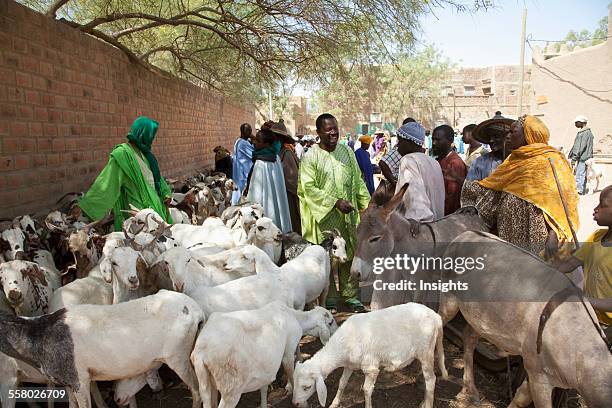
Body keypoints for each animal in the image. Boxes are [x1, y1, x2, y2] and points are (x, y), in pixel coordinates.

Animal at [191, 300, 338, 408]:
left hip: (207, 382)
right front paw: (300, 400)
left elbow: (264, 388)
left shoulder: (266, 366)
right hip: (231, 388)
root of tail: (201, 350)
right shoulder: (288, 351)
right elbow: (291, 374)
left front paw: (264, 404)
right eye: (330, 322)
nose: (337, 332)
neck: (295, 317)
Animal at [290, 302, 448, 408]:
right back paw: (423, 401)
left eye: (307, 387)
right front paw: (334, 403)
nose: (295, 403)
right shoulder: (350, 365)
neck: (343, 343)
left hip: (426, 352)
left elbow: (366, 390)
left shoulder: (371, 367)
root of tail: (436, 316)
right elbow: (342, 383)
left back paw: (428, 404)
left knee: (431, 379)